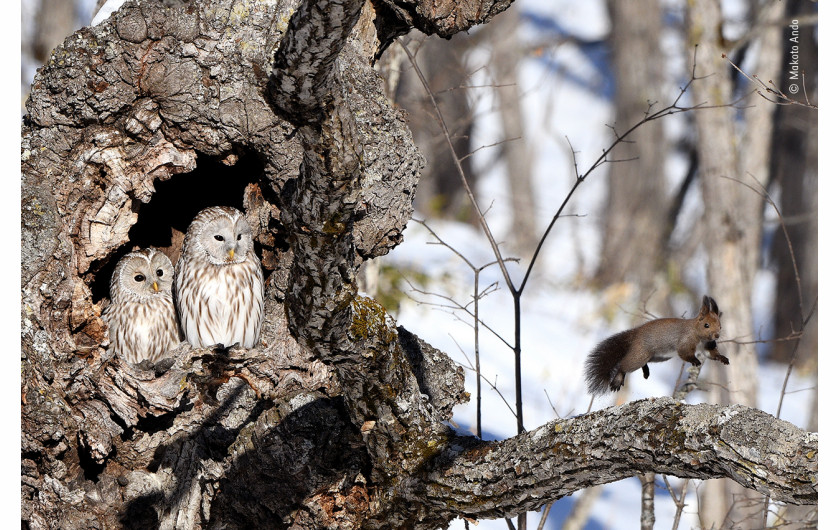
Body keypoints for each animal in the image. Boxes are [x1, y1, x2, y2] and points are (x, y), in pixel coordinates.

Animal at [584, 294, 728, 394]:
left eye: (720, 326)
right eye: (706, 325)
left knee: (641, 363)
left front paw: (723, 358)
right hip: (641, 354)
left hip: (658, 357)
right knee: (624, 365)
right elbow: (684, 353)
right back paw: (618, 379)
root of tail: (635, 334)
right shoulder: (685, 341)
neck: (699, 336)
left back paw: (646, 372)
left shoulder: (708, 345)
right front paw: (695, 361)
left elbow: (711, 354)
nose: (716, 336)